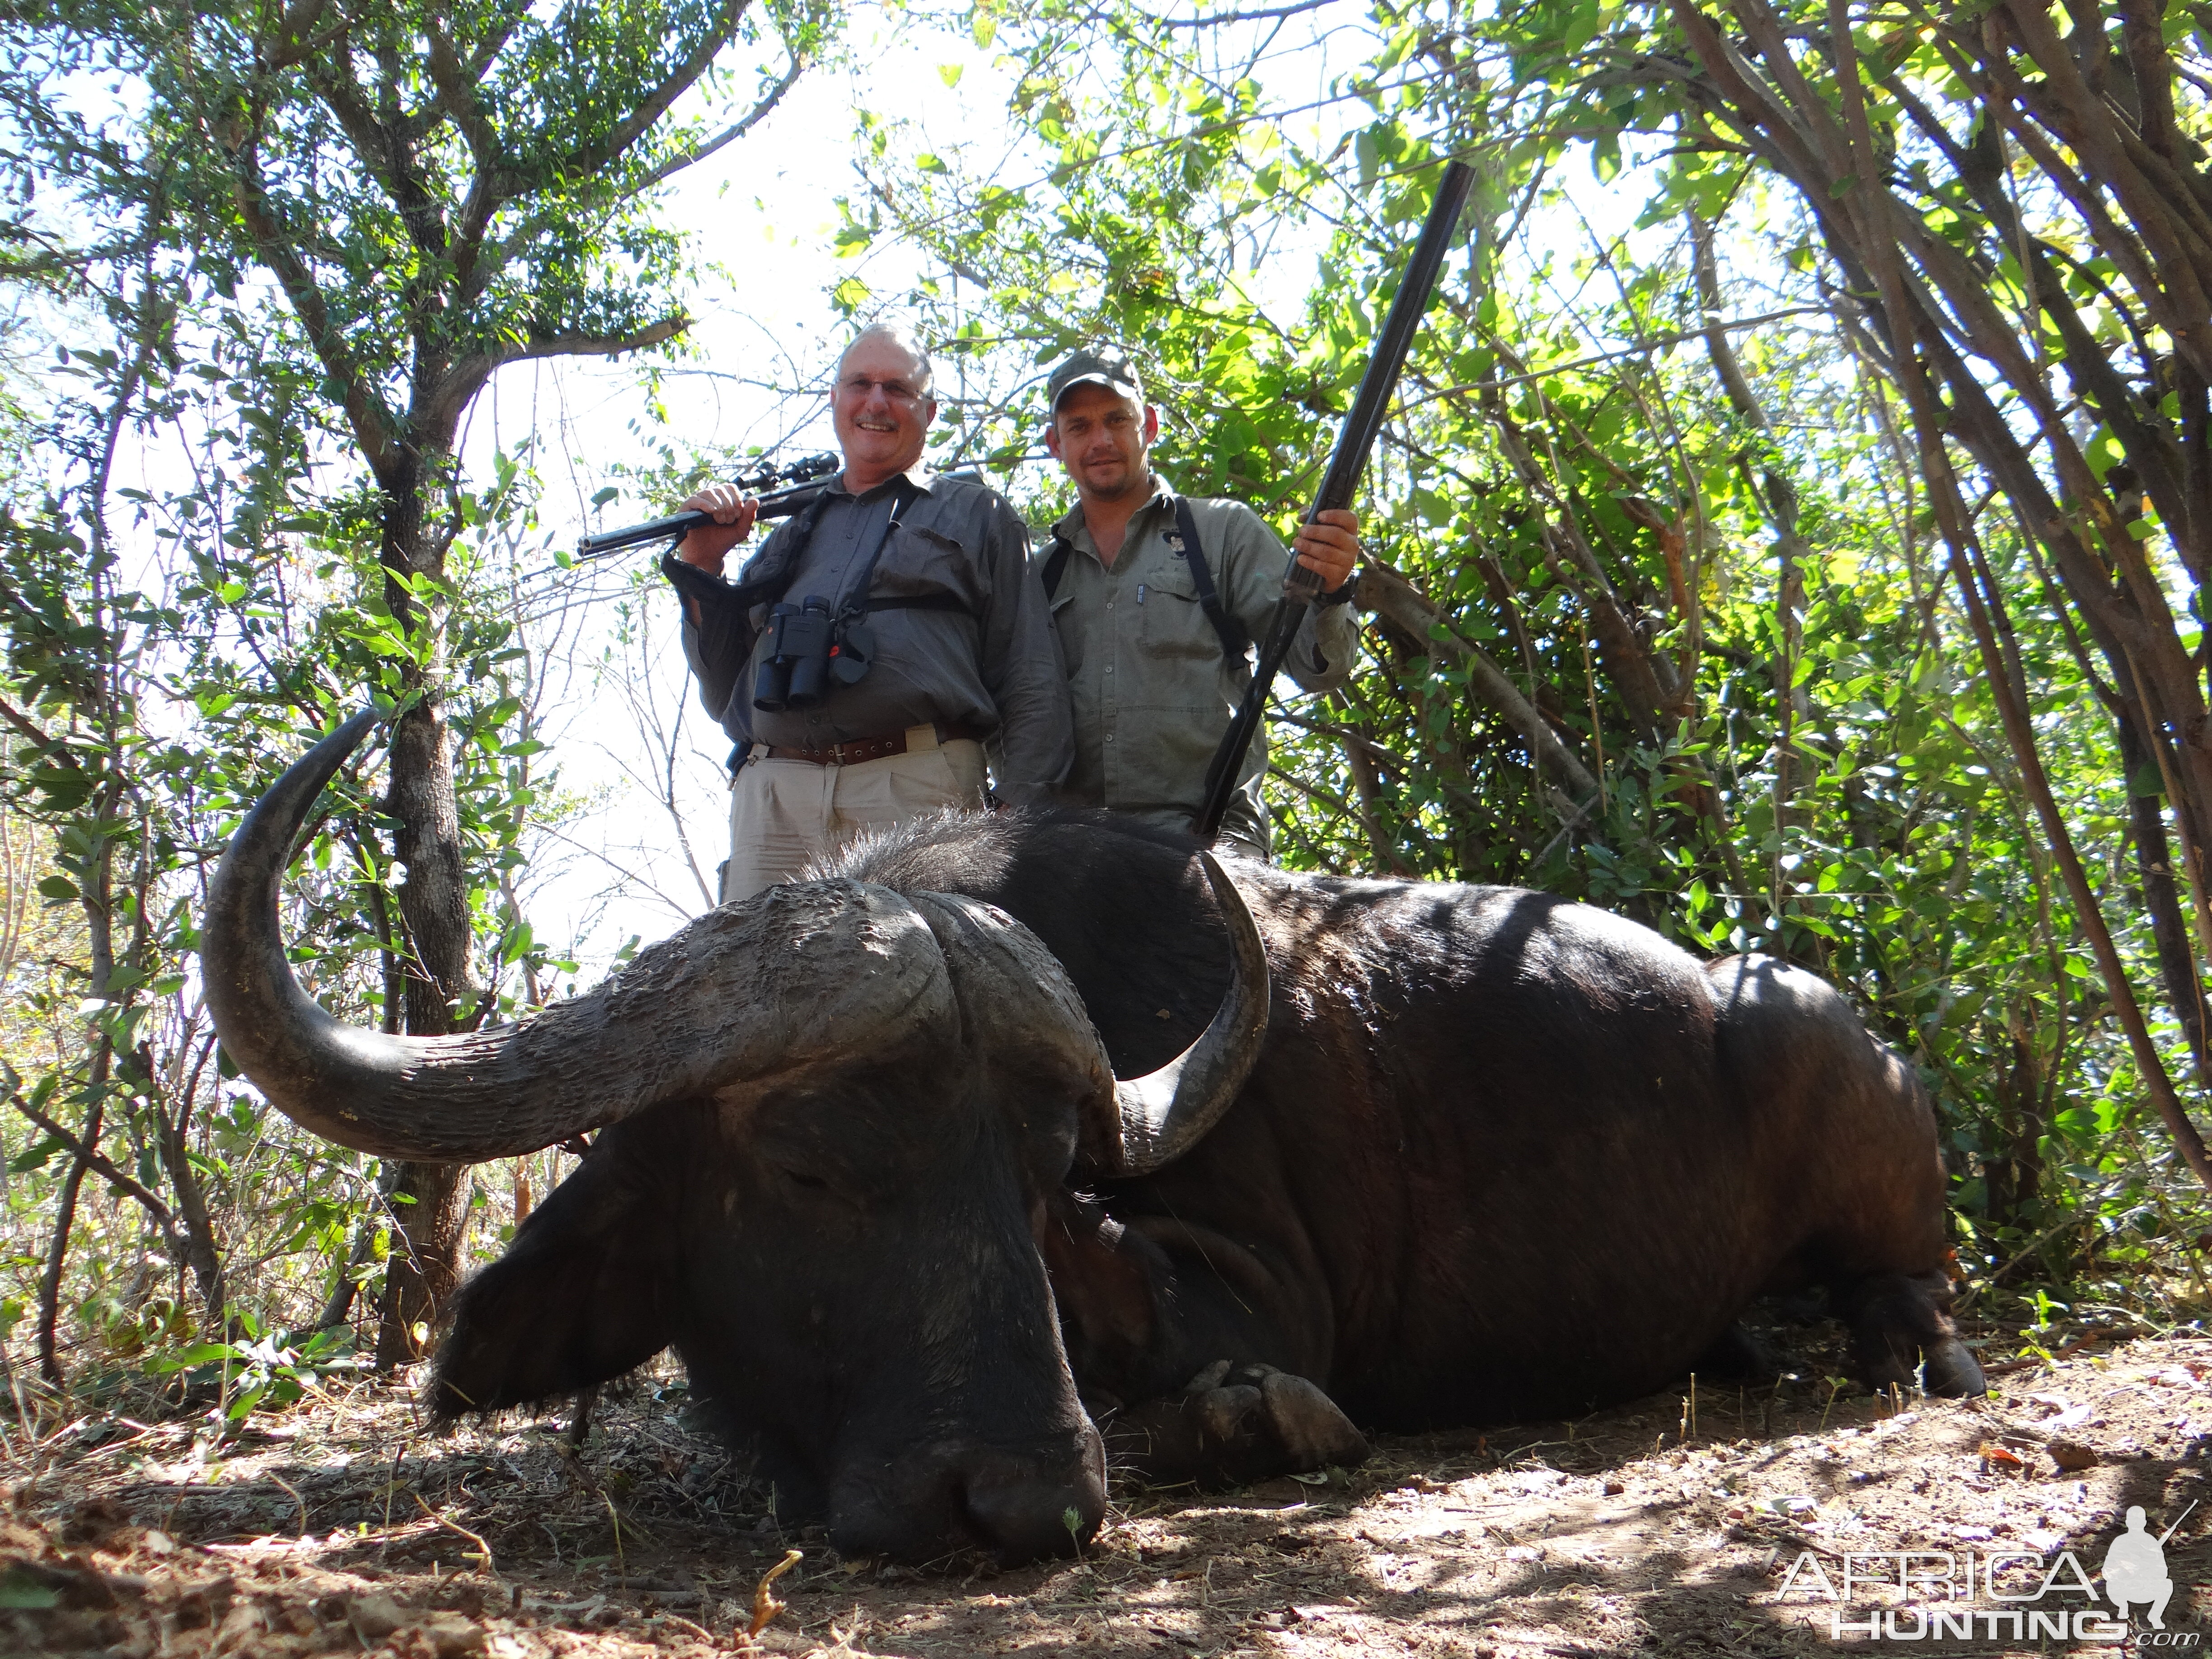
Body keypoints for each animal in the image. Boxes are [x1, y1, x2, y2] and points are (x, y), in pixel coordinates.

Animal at [199, 717, 1982, 1575]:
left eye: (1050, 1176)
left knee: (1909, 1282)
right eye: (811, 1164)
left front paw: (1248, 1415)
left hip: (1853, 1129)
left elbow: (1222, 1363)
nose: (1025, 1496)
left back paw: (1905, 1346)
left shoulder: (1251, 1281)